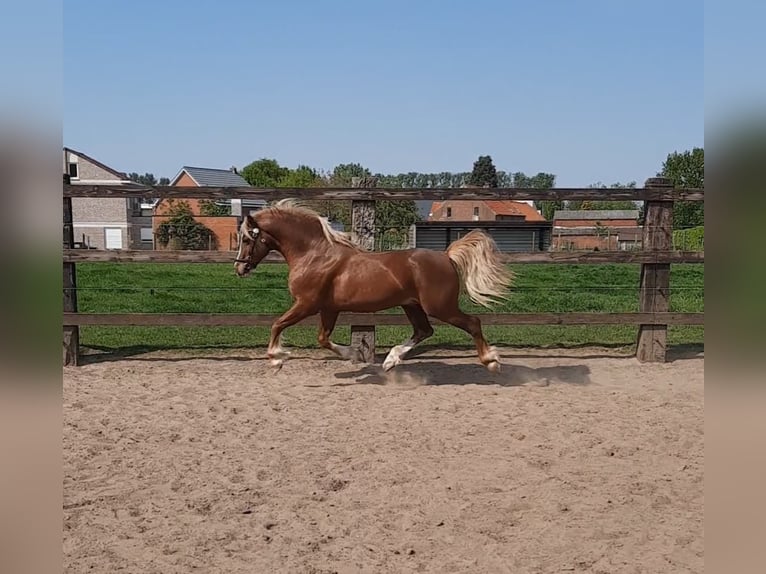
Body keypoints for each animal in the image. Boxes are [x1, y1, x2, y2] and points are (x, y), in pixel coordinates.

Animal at [234, 200, 516, 376]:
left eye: (247, 238)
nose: (239, 268)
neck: (314, 254)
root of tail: (446, 256)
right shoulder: (329, 308)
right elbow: (322, 338)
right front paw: (355, 353)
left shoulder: (306, 304)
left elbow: (277, 325)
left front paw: (276, 359)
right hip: (412, 306)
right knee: (424, 331)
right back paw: (391, 361)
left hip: (440, 306)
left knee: (473, 323)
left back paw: (491, 362)